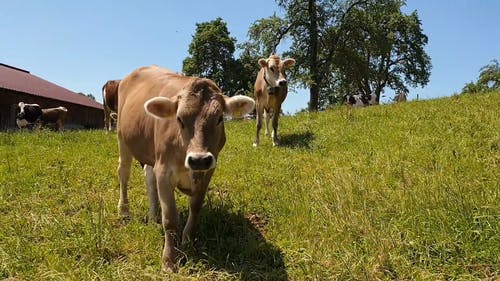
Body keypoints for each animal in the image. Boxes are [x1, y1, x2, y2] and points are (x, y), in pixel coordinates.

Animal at [117, 64, 256, 270]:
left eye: (219, 118)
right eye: (179, 119)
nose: (198, 159)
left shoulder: (208, 170)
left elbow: (196, 206)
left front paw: (188, 241)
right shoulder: (164, 170)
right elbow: (170, 219)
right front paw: (169, 260)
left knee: (149, 180)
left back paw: (153, 216)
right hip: (122, 138)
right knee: (124, 173)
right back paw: (124, 211)